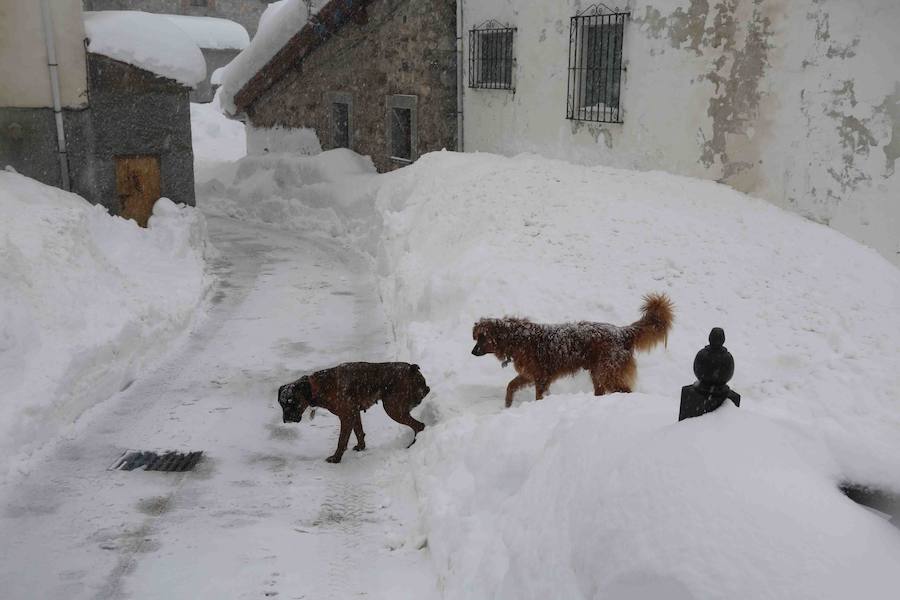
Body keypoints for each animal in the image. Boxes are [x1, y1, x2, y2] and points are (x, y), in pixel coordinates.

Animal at [278, 360, 428, 464]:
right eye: (281, 403)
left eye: (292, 402)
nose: (287, 418)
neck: (318, 386)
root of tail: (412, 369)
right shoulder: (354, 413)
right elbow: (359, 432)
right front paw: (361, 447)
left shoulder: (346, 416)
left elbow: (342, 441)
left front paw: (336, 458)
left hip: (393, 408)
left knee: (420, 426)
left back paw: (413, 445)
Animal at [472, 292, 676, 408]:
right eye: (477, 337)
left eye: (482, 337)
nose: (472, 352)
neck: (518, 338)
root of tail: (622, 331)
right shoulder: (529, 375)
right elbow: (510, 386)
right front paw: (507, 405)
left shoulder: (541, 377)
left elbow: (538, 396)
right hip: (598, 374)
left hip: (609, 372)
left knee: (624, 390)